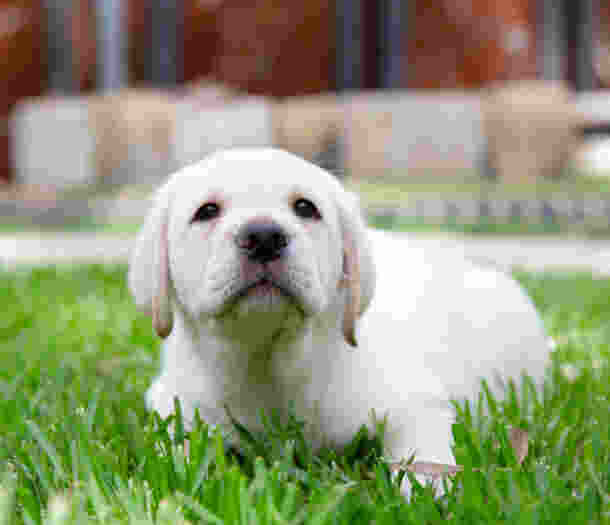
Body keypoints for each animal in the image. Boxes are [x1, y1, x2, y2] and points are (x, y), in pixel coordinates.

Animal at [128, 146, 548, 492]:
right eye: (207, 211)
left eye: (305, 208)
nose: (263, 236)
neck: (267, 356)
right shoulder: (173, 401)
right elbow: (173, 444)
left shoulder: (417, 404)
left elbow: (422, 451)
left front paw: (427, 491)